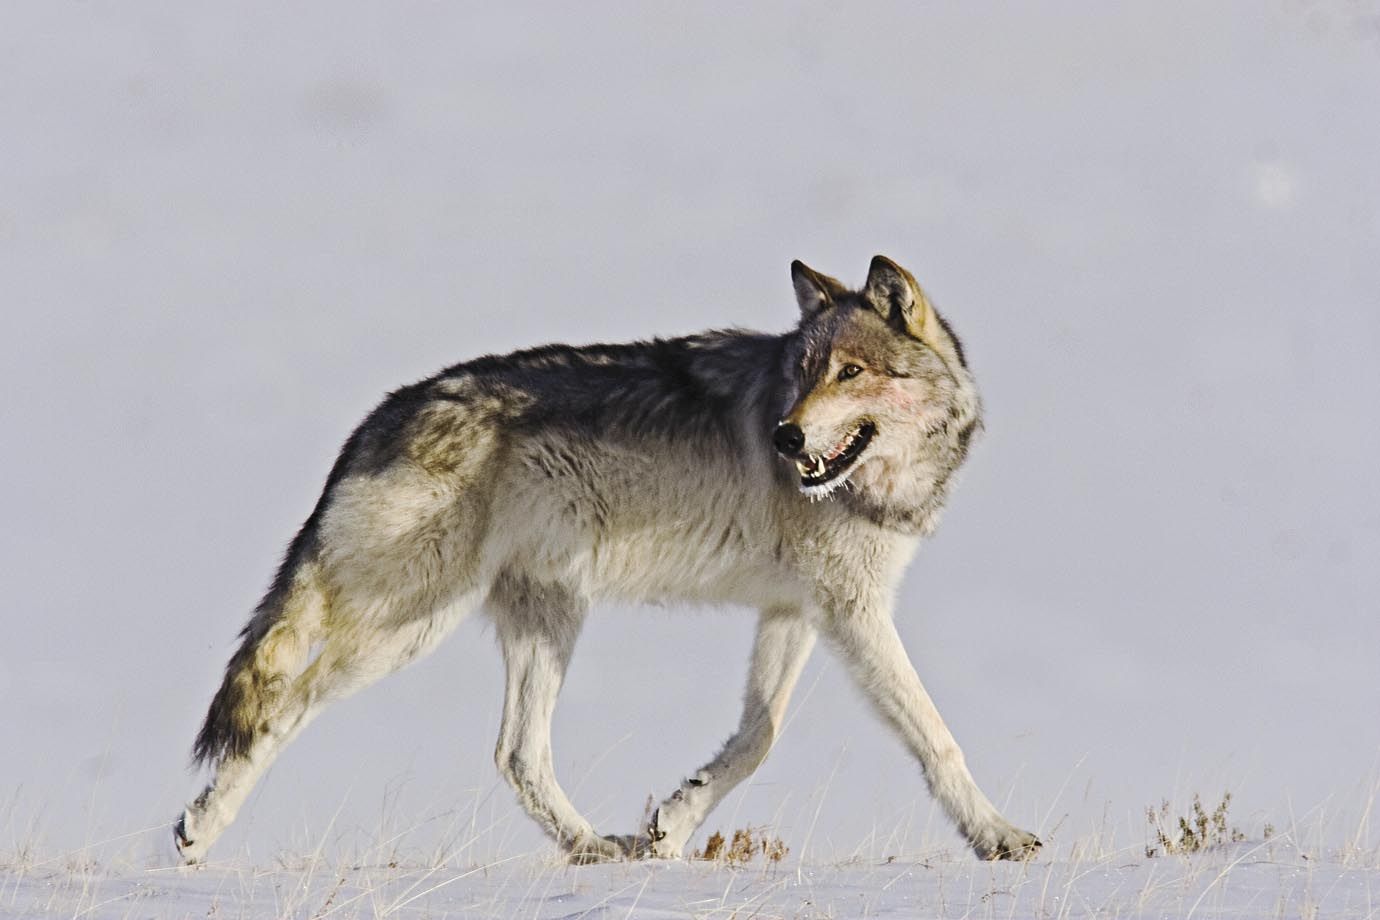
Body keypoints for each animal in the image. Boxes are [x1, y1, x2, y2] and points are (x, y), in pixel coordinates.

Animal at [178, 257, 1043, 866]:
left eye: (851, 372)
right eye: (802, 374)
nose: (785, 436)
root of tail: (381, 415)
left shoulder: (798, 610)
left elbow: (757, 736)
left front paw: (673, 824)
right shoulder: (852, 612)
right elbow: (936, 736)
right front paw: (997, 837)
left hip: (547, 620)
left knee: (517, 754)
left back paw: (593, 846)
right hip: (410, 626)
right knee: (285, 703)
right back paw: (198, 831)